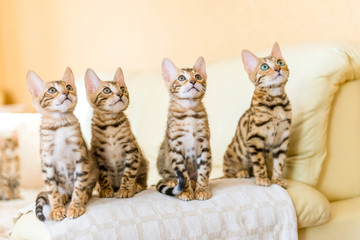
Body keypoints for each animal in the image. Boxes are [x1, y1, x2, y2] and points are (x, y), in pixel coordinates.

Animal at [26, 67, 98, 221]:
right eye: (52, 90)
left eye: (69, 87)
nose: (66, 92)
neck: (60, 124)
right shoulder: (46, 163)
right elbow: (52, 190)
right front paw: (57, 209)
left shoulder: (81, 157)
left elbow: (79, 187)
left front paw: (75, 207)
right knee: (61, 190)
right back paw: (63, 196)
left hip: (94, 168)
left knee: (86, 188)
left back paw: (83, 197)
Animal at [85, 67, 148, 199]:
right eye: (107, 90)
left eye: (123, 89)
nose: (120, 94)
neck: (110, 125)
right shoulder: (98, 154)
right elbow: (103, 176)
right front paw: (106, 190)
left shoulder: (132, 150)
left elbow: (129, 173)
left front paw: (125, 189)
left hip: (143, 162)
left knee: (143, 181)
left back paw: (137, 186)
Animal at [157, 56, 212, 201]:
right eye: (181, 78)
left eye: (198, 76)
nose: (193, 81)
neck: (189, 112)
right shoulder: (175, 147)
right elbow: (182, 173)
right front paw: (186, 191)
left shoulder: (204, 144)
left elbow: (203, 170)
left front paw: (202, 189)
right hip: (162, 154)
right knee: (167, 175)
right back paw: (171, 181)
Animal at [224, 43, 292, 189]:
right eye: (264, 67)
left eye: (280, 62)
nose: (278, 68)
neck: (276, 102)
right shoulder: (255, 138)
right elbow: (259, 162)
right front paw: (262, 178)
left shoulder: (282, 139)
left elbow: (280, 163)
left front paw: (277, 180)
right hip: (231, 155)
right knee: (227, 173)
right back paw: (241, 173)